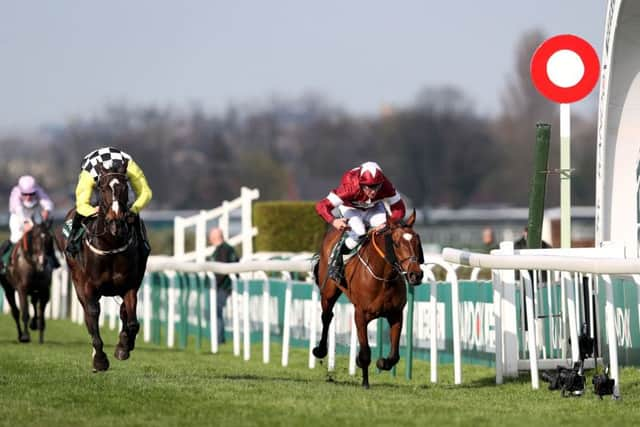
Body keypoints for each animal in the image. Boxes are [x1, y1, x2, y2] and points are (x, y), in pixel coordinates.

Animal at [62, 160, 148, 372]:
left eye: (125, 186)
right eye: (102, 188)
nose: (116, 220)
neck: (110, 243)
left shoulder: (130, 285)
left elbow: (132, 321)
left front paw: (123, 347)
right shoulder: (88, 287)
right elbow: (93, 316)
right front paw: (100, 359)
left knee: (124, 313)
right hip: (77, 283)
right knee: (88, 316)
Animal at [314, 210, 424, 388]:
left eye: (417, 241)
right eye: (396, 244)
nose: (416, 274)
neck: (384, 278)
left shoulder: (396, 315)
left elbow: (395, 356)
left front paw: (382, 363)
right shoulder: (360, 315)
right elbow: (365, 352)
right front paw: (365, 380)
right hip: (329, 291)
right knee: (326, 316)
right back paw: (320, 349)